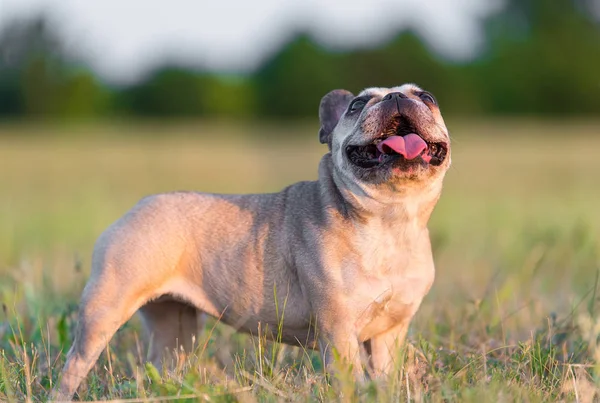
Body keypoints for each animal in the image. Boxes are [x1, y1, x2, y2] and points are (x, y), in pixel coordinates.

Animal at [51, 84, 452, 400]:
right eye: (357, 105)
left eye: (427, 97)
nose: (397, 97)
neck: (390, 219)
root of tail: (135, 209)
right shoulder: (337, 333)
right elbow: (349, 381)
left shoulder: (389, 334)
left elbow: (384, 379)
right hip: (103, 311)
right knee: (73, 368)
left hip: (174, 328)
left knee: (164, 363)